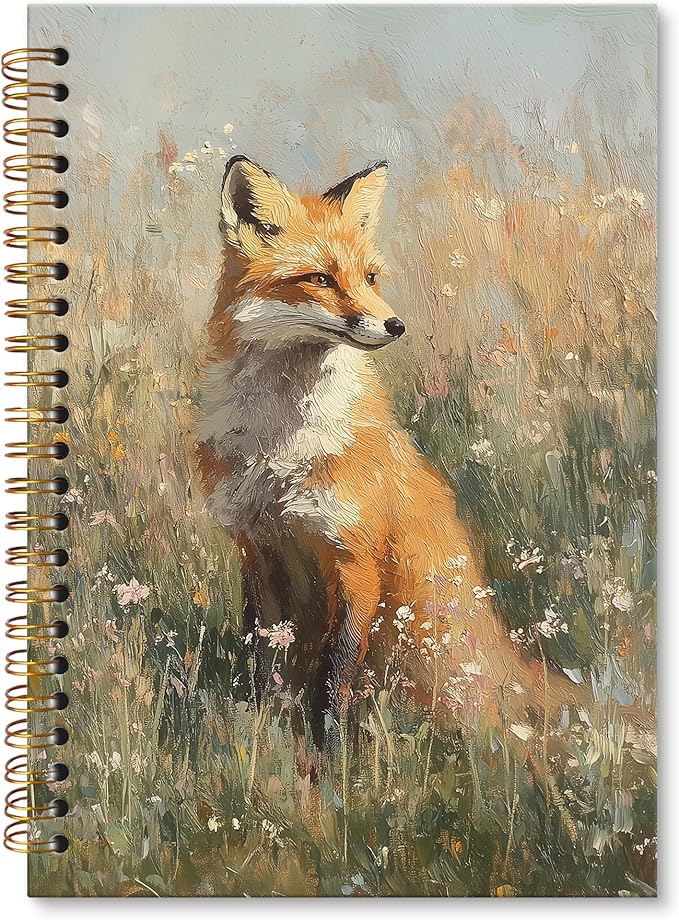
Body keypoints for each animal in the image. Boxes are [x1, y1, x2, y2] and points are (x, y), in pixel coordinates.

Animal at [196, 156, 645, 758]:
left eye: (370, 277)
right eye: (319, 279)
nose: (395, 325)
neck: (281, 447)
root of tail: (507, 658)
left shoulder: (355, 559)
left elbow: (334, 680)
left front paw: (330, 764)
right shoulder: (259, 550)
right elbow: (262, 665)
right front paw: (266, 741)